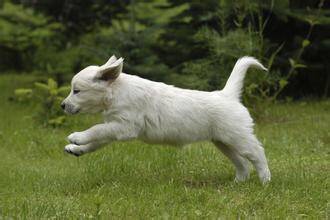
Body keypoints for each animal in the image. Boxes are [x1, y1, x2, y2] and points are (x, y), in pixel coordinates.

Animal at [61, 55, 270, 184]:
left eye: (76, 91)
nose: (62, 105)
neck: (116, 91)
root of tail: (227, 95)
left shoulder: (125, 127)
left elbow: (96, 129)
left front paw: (77, 137)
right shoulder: (115, 127)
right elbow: (97, 139)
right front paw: (77, 149)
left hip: (239, 137)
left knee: (258, 154)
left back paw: (265, 181)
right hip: (222, 142)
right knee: (242, 163)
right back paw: (238, 182)